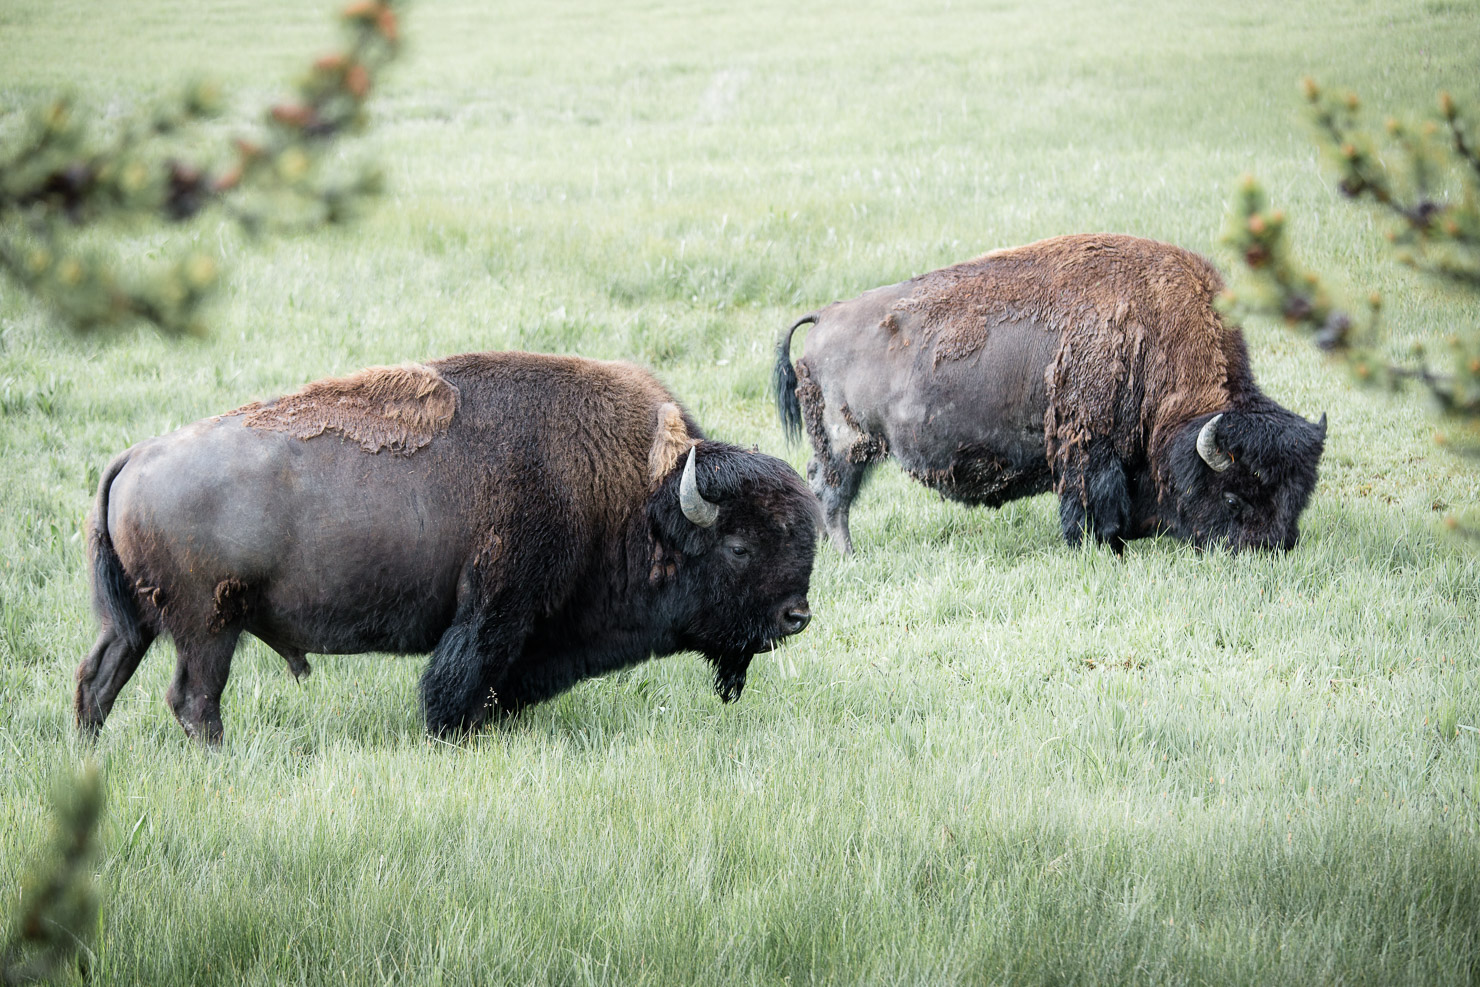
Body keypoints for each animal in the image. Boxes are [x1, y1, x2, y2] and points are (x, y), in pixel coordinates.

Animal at [75, 350, 822, 745]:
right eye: (738, 546)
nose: (797, 616)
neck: (640, 496)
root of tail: (136, 455)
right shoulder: (495, 612)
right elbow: (457, 684)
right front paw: (451, 736)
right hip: (209, 626)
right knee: (193, 698)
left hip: (138, 624)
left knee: (98, 679)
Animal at [775, 233, 1332, 556]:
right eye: (1234, 494)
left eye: (1298, 497)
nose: (1269, 550)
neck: (1158, 334)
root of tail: (825, 317)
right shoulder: (1088, 446)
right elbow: (1089, 497)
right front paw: (1100, 547)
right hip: (849, 444)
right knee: (833, 493)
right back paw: (847, 555)